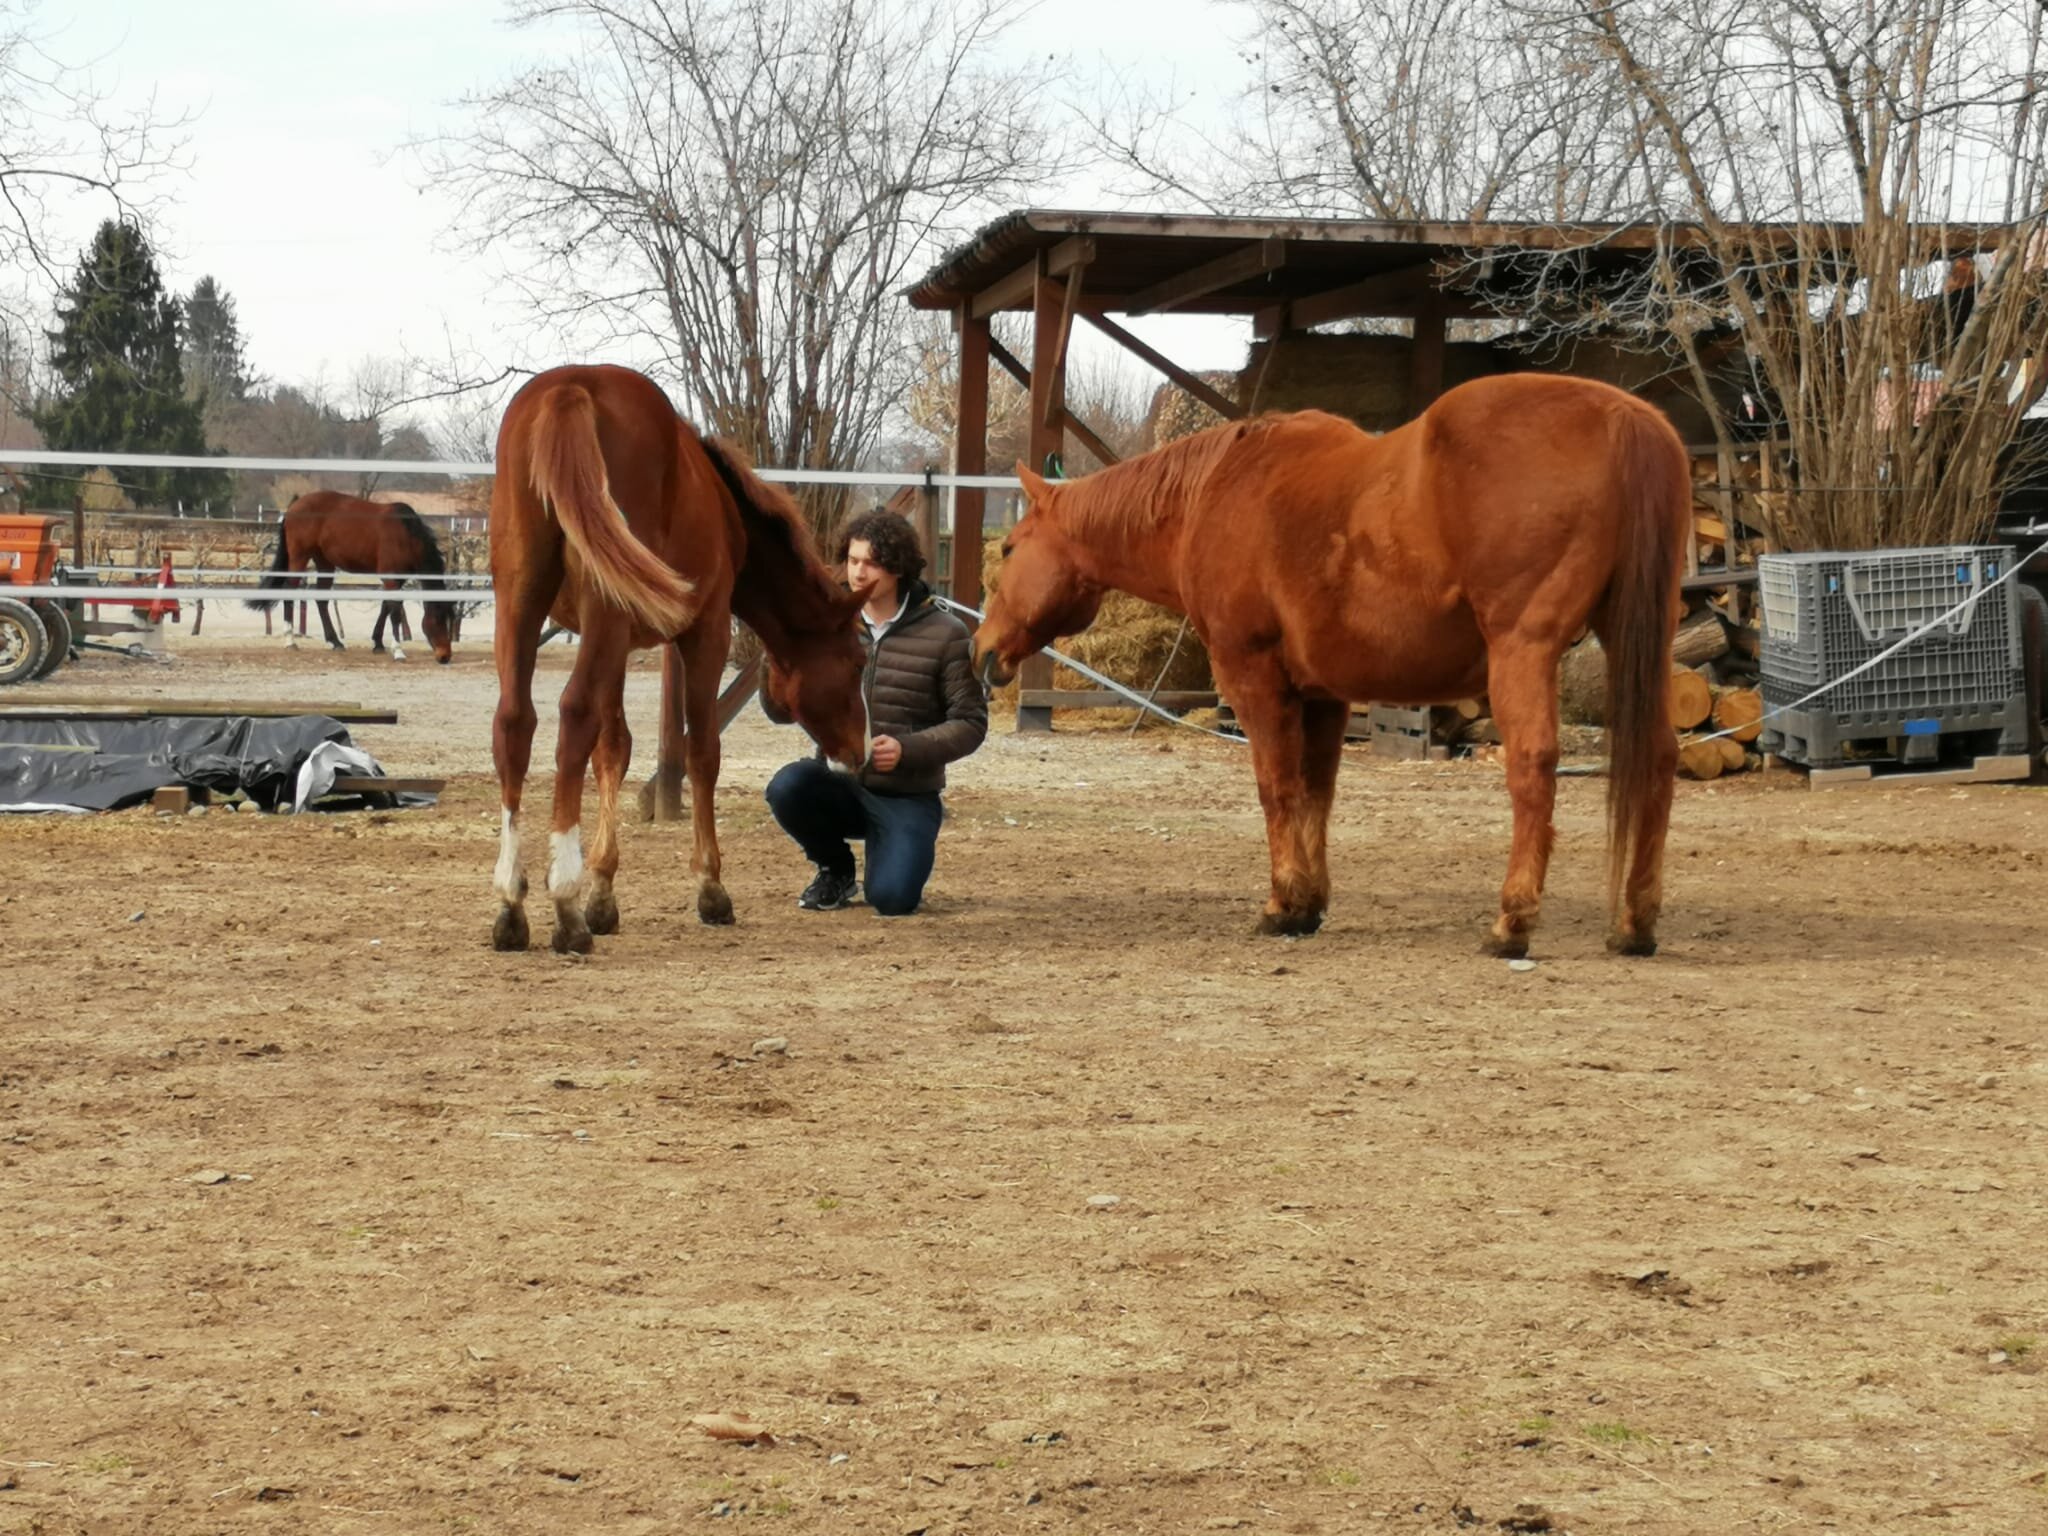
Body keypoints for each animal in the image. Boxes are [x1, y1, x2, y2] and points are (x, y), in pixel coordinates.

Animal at [247, 493, 456, 663]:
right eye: (437, 619)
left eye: (450, 619)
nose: (445, 656)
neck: (405, 535)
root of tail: (294, 506)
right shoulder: (391, 579)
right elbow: (395, 612)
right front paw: (398, 651)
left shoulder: (397, 580)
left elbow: (385, 607)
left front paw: (378, 643)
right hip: (299, 558)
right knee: (289, 592)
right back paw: (290, 640)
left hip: (324, 562)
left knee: (321, 599)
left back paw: (335, 641)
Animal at [487, 364, 872, 958]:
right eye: (856, 662)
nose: (862, 752)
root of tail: (572, 387)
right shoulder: (704, 634)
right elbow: (701, 752)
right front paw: (710, 887)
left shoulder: (620, 644)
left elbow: (614, 751)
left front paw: (603, 891)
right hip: (603, 612)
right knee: (574, 717)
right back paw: (565, 906)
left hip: (521, 601)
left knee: (515, 724)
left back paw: (512, 902)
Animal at [966, 372, 1687, 958]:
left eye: (1009, 548)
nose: (981, 651)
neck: (1216, 492)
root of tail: (1625, 417)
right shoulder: (1324, 696)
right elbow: (1316, 793)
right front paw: (1308, 904)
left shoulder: (1254, 678)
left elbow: (1276, 788)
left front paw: (1281, 903)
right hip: (1637, 644)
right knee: (1658, 759)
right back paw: (1635, 923)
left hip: (1523, 650)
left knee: (1534, 767)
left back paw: (1512, 922)